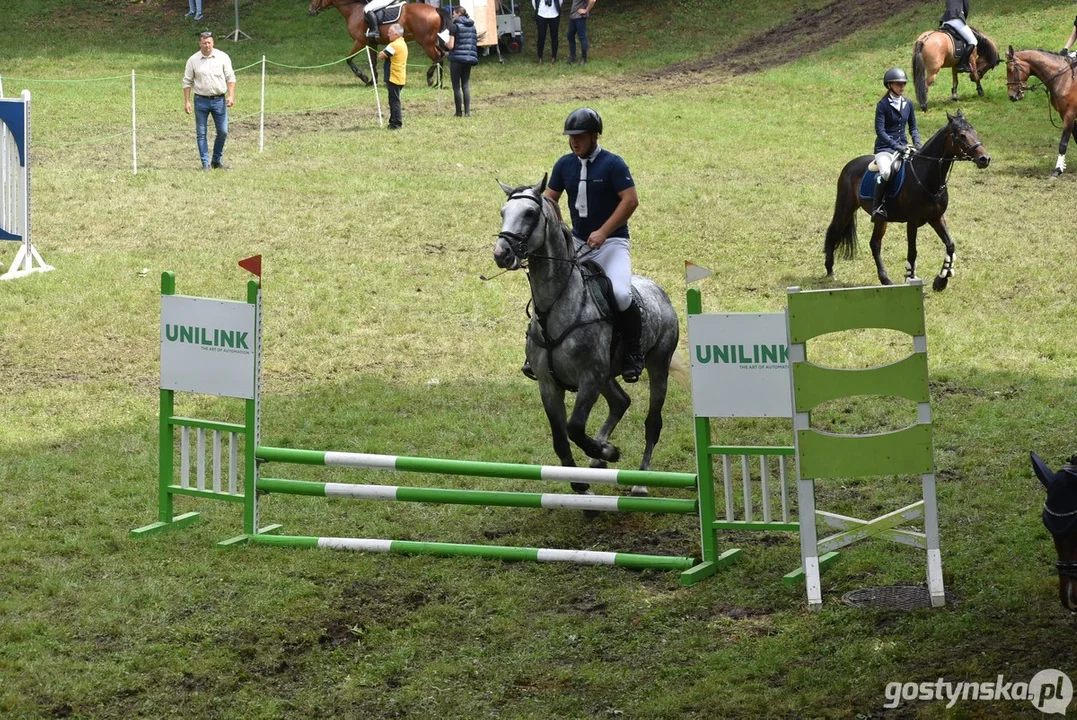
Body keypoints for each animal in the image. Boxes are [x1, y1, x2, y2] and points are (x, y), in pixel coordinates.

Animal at [310, 0, 448, 86]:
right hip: (431, 42)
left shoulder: (360, 42)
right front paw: (373, 81)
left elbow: (349, 59)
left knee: (438, 58)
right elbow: (373, 62)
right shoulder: (371, 44)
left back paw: (431, 79)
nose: (310, 11)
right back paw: (438, 83)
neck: (354, 10)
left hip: (425, 42)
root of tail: (435, 9)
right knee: (441, 56)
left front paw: (365, 78)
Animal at [491, 176, 680, 497]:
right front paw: (581, 483)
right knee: (620, 402)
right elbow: (560, 438)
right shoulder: (548, 384)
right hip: (608, 375)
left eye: (530, 213)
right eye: (504, 212)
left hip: (657, 367)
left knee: (652, 422)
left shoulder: (590, 377)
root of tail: (659, 291)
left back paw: (639, 480)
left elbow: (575, 427)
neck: (555, 307)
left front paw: (610, 452)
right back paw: (598, 455)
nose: (502, 254)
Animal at [822, 110, 990, 290]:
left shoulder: (936, 218)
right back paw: (830, 270)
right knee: (834, 231)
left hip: (880, 219)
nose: (985, 159)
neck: (928, 177)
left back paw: (885, 279)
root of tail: (850, 165)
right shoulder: (912, 221)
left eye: (975, 132)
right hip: (846, 208)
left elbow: (950, 245)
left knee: (875, 244)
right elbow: (912, 251)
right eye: (962, 135)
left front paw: (941, 279)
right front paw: (911, 278)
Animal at [999, 46, 1077, 178]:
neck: (1064, 79)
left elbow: (1063, 144)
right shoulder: (1066, 115)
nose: (1012, 96)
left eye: (1010, 69)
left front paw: (1057, 170)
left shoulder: (1069, 114)